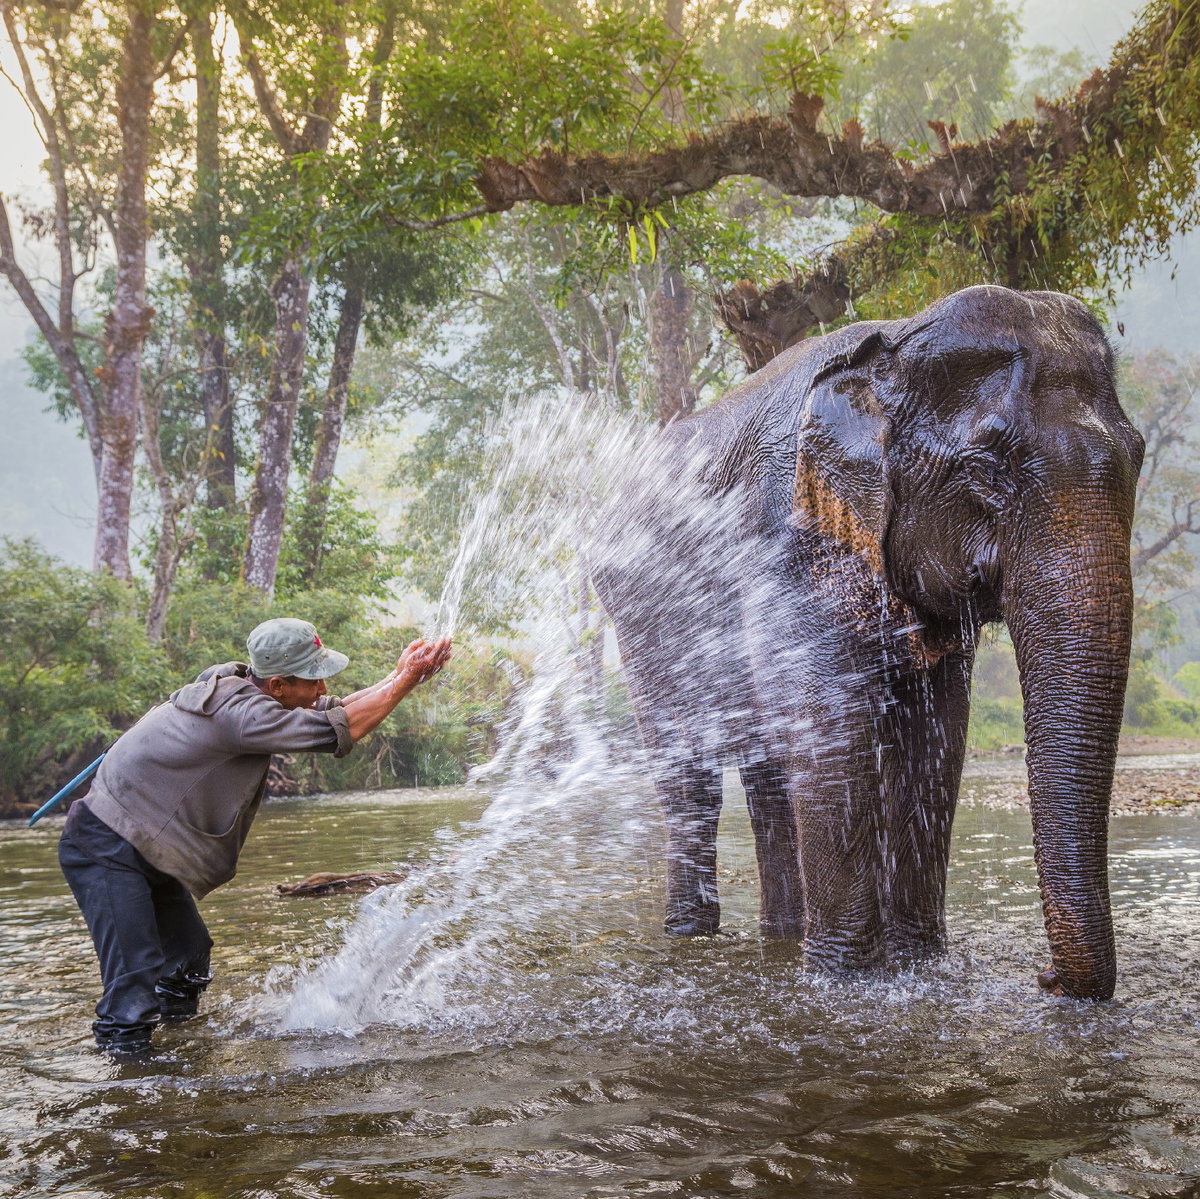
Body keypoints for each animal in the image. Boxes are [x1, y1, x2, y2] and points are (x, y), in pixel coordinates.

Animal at [592, 284, 1144, 1001]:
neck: (896, 339)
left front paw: (917, 966)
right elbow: (834, 724)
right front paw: (845, 983)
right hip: (641, 620)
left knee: (769, 775)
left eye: (1140, 455)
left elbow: (936, 735)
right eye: (987, 467)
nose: (1046, 975)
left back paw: (781, 937)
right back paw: (692, 937)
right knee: (690, 771)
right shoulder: (789, 537)